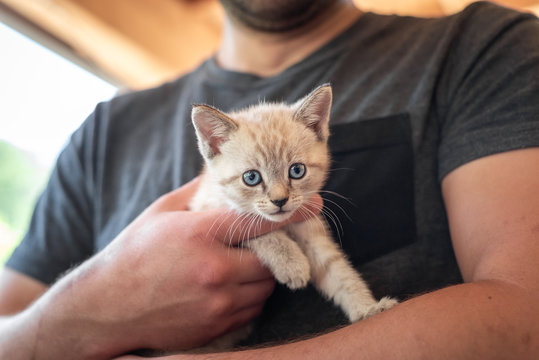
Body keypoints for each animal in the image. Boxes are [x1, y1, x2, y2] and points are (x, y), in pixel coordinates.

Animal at [189, 84, 396, 348]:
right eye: (251, 177)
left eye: (297, 171)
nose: (280, 201)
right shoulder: (208, 210)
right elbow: (257, 230)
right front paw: (292, 264)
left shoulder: (311, 233)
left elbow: (339, 273)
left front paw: (367, 308)